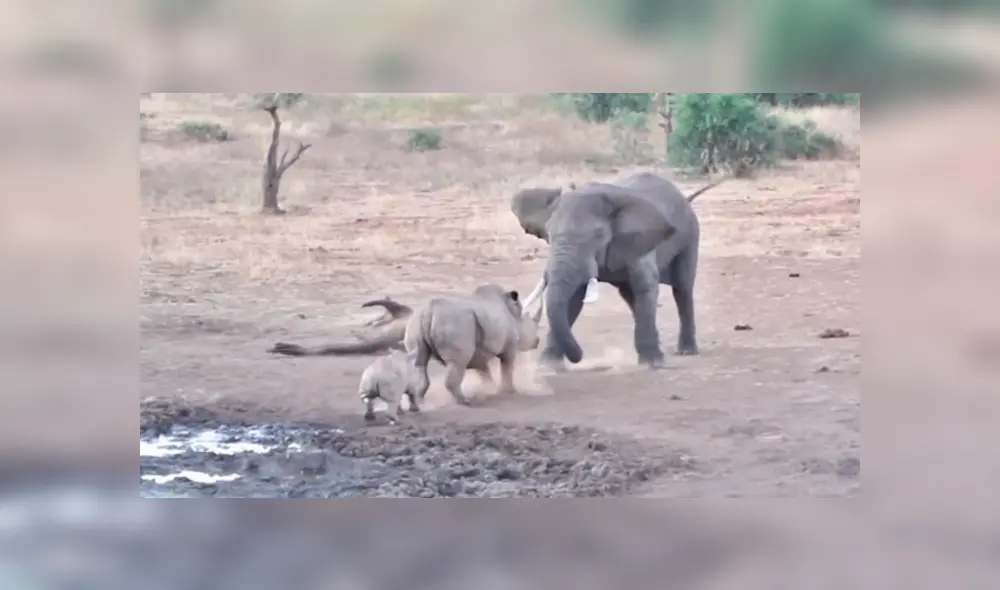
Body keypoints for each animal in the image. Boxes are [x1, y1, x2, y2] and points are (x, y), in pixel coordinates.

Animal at [510, 171, 725, 371]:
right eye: (548, 234)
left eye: (598, 235)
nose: (579, 356)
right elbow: (573, 299)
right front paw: (548, 366)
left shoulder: (640, 241)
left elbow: (646, 286)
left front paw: (652, 363)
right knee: (631, 296)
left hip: (690, 236)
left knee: (682, 288)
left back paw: (686, 351)